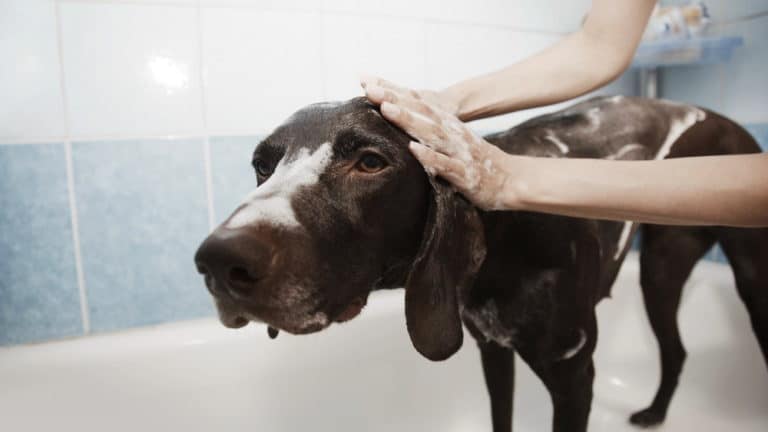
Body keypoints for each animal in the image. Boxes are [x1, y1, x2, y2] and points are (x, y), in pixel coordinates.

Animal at [195, 96, 764, 430]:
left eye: (371, 162)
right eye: (262, 165)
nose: (218, 262)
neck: (507, 240)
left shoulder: (574, 379)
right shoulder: (493, 351)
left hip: (727, 276)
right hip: (661, 272)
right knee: (676, 349)